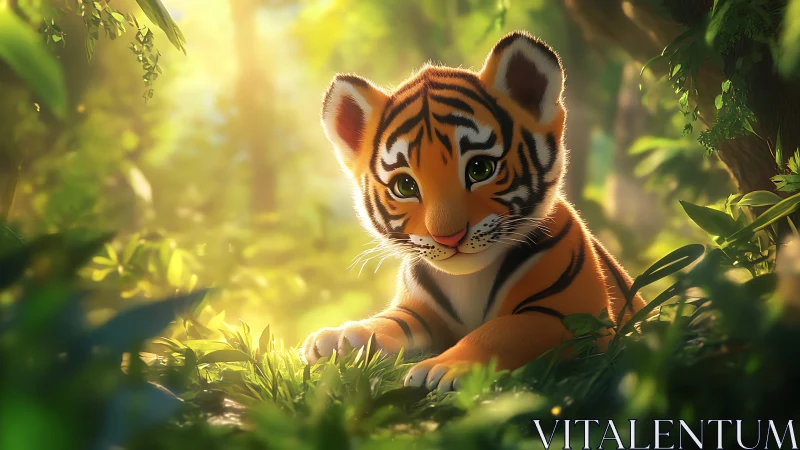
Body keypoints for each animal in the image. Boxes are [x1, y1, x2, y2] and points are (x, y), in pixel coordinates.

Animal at [302, 31, 645, 392]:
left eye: (480, 169)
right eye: (405, 186)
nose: (449, 237)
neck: (468, 281)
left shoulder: (566, 314)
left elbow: (501, 332)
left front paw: (441, 368)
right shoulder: (418, 311)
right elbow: (386, 323)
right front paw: (338, 338)